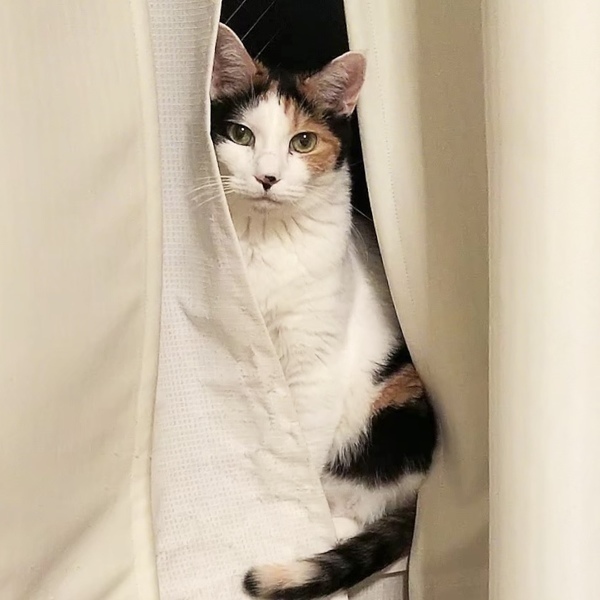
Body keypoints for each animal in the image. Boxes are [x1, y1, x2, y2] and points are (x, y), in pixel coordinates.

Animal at [209, 23, 438, 600]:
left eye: (303, 141)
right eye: (241, 135)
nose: (267, 177)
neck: (266, 241)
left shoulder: (314, 366)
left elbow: (305, 443)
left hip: (394, 411)